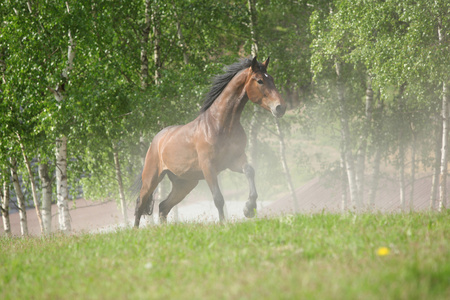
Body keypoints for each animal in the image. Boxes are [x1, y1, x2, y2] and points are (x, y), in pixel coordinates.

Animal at [134, 56, 286, 226]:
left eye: (271, 79)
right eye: (260, 81)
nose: (280, 107)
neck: (220, 124)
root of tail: (156, 140)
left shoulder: (234, 161)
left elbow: (249, 171)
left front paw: (249, 209)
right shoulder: (208, 167)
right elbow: (218, 198)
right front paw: (223, 224)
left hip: (184, 184)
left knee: (163, 207)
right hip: (151, 179)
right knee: (140, 204)